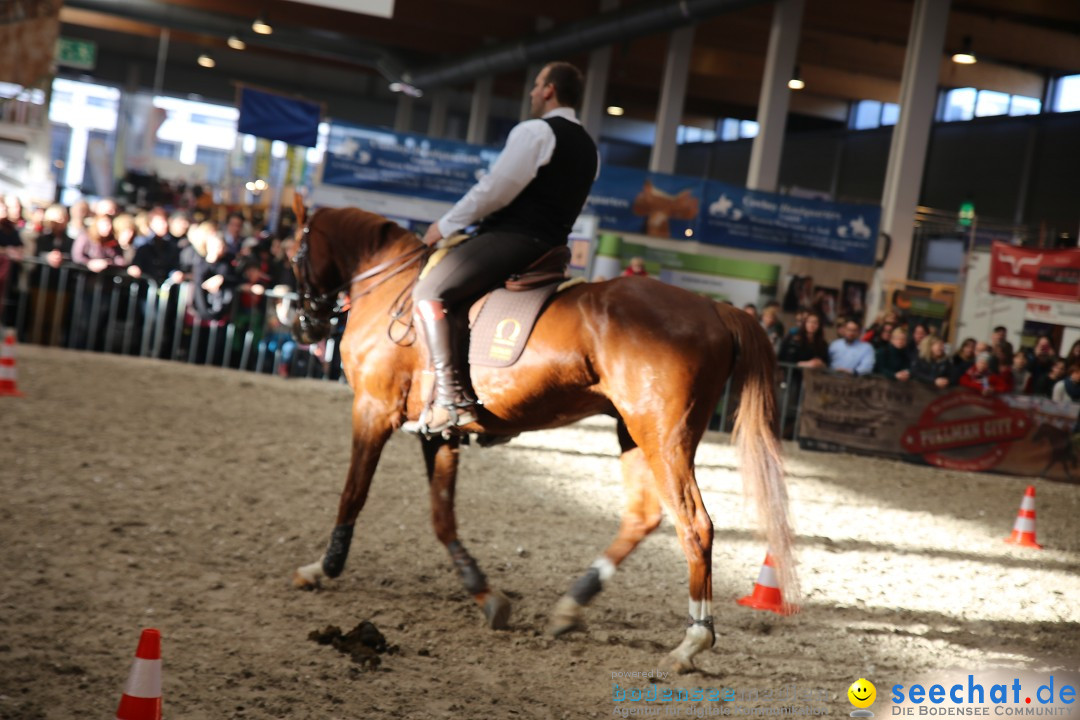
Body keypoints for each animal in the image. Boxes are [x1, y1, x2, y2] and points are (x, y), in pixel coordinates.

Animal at [291, 199, 799, 673]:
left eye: (296, 252)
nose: (303, 322)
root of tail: (714, 307)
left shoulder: (373, 410)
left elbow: (354, 491)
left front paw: (323, 567)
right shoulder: (438, 434)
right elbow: (442, 516)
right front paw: (485, 594)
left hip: (662, 436)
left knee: (694, 525)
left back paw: (692, 642)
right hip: (633, 432)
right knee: (644, 516)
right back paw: (571, 607)